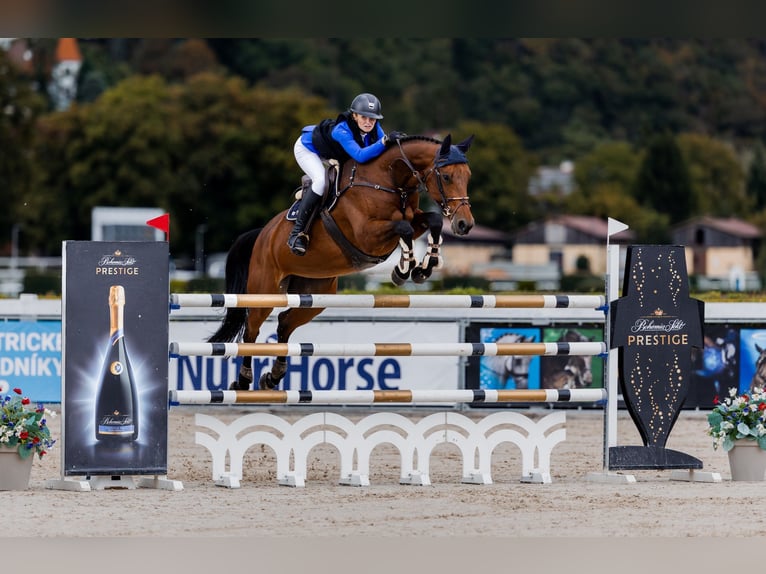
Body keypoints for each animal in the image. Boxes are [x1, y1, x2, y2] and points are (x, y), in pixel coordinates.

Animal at [208, 134, 475, 390]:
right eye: (447, 176)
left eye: (468, 176)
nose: (465, 224)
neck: (390, 180)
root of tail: (263, 233)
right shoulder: (367, 235)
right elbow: (404, 228)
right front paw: (403, 269)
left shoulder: (412, 220)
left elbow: (432, 221)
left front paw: (424, 267)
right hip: (265, 290)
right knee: (252, 329)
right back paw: (243, 381)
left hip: (316, 293)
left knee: (284, 323)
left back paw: (273, 377)